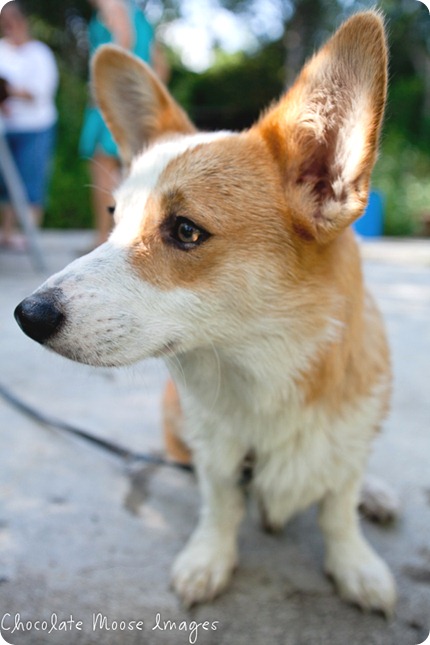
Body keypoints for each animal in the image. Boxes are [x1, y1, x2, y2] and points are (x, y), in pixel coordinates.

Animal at [14, 11, 396, 612]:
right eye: (112, 217)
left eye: (186, 231)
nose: (27, 315)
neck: (263, 381)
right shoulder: (219, 455)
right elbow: (220, 503)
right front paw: (209, 558)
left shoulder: (345, 443)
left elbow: (338, 508)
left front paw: (355, 565)